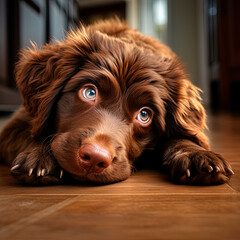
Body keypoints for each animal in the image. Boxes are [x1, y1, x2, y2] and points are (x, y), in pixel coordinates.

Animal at [0, 19, 233, 186]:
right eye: (90, 92)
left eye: (144, 114)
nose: (95, 158)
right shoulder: (18, 123)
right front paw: (40, 157)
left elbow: (181, 137)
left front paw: (197, 155)